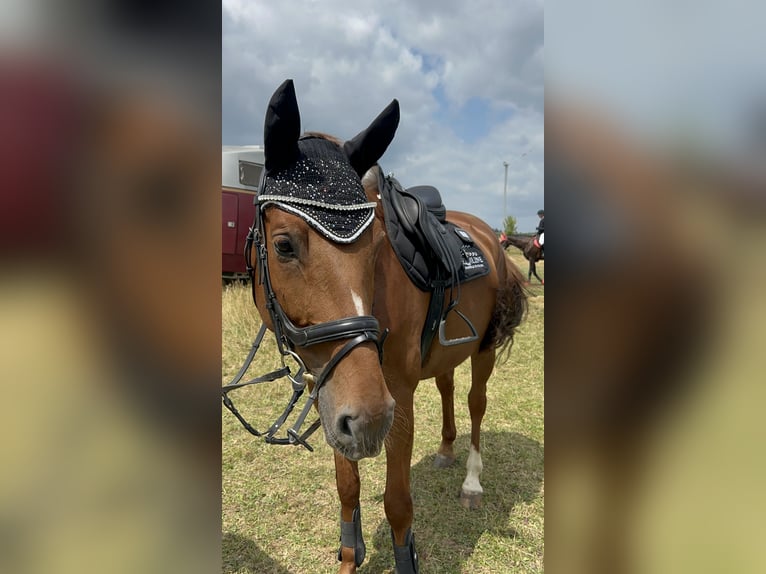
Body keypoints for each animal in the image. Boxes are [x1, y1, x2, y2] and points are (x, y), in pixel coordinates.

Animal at [236, 80, 528, 574]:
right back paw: (445, 452)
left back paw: (471, 480)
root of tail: (489, 235)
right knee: (448, 387)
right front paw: (349, 557)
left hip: (484, 350)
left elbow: (397, 504)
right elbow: (347, 489)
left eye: (374, 246)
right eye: (283, 245)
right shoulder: (331, 395)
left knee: (475, 403)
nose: (370, 419)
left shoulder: (398, 399)